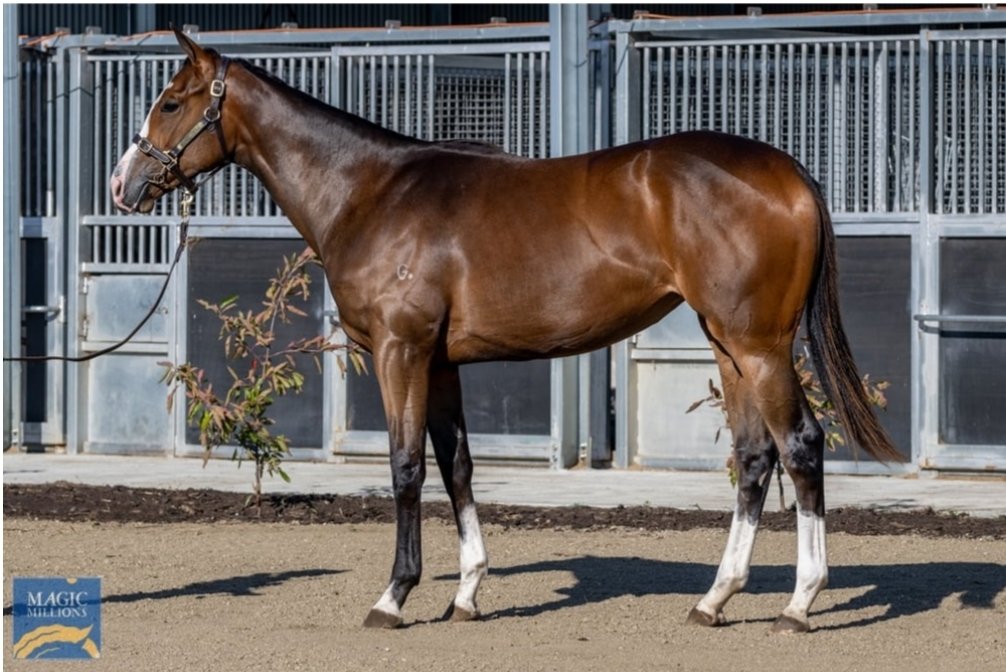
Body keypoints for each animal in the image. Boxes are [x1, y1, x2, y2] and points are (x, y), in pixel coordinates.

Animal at [111, 29, 900, 632]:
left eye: (171, 101)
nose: (122, 186)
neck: (369, 191)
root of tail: (787, 171)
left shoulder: (400, 352)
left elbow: (405, 468)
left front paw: (393, 598)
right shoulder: (439, 362)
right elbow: (456, 465)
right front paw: (466, 593)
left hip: (759, 346)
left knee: (800, 447)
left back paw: (798, 604)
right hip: (728, 346)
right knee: (755, 458)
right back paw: (713, 600)